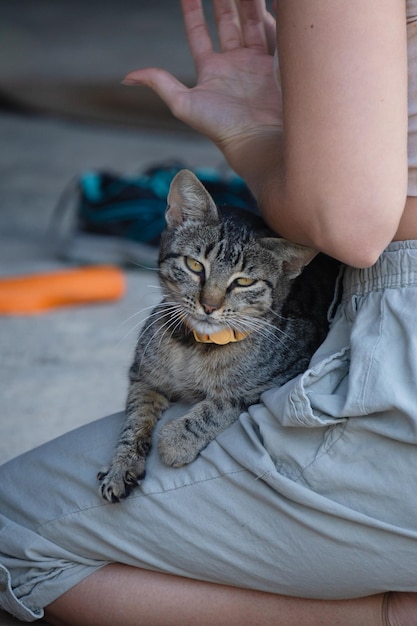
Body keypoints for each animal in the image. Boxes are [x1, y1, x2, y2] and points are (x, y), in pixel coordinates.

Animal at [99, 168, 340, 500]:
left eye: (244, 282)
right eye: (194, 265)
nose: (209, 305)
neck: (194, 348)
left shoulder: (284, 377)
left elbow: (225, 402)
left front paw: (177, 439)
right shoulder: (143, 378)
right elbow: (134, 420)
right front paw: (121, 466)